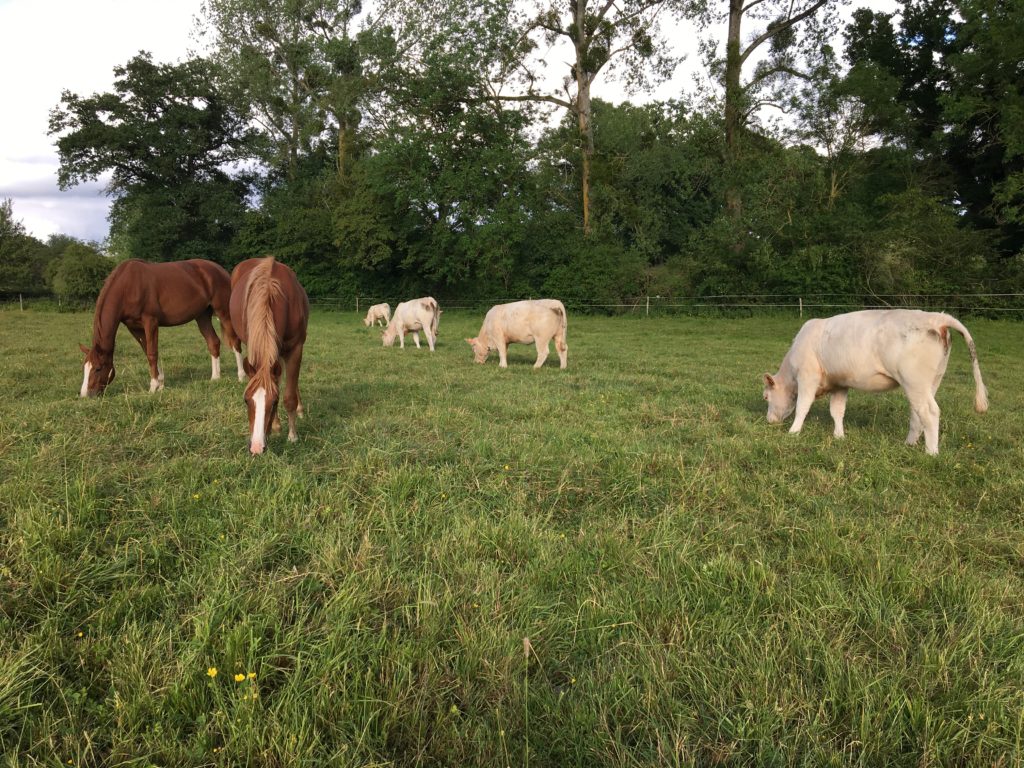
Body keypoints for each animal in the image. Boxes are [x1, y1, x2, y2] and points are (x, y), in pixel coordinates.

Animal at [78, 262, 242, 399]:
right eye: (84, 368)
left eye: (98, 368)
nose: (85, 395)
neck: (128, 286)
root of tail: (221, 270)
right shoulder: (134, 327)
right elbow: (148, 352)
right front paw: (161, 384)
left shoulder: (150, 322)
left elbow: (152, 354)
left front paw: (153, 387)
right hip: (202, 316)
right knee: (213, 342)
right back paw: (215, 378)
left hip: (223, 312)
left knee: (235, 342)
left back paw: (241, 377)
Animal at [230, 256, 309, 454]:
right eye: (245, 400)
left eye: (274, 402)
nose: (256, 448)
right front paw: (276, 427)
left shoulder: (296, 348)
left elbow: (289, 396)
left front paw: (292, 436)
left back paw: (299, 410)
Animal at [765, 309, 987, 456]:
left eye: (766, 396)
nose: (769, 420)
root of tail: (937, 317)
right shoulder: (840, 383)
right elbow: (837, 411)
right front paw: (839, 436)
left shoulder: (807, 377)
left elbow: (802, 406)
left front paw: (793, 432)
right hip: (930, 383)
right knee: (917, 413)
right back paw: (909, 444)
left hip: (915, 382)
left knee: (930, 412)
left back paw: (931, 453)